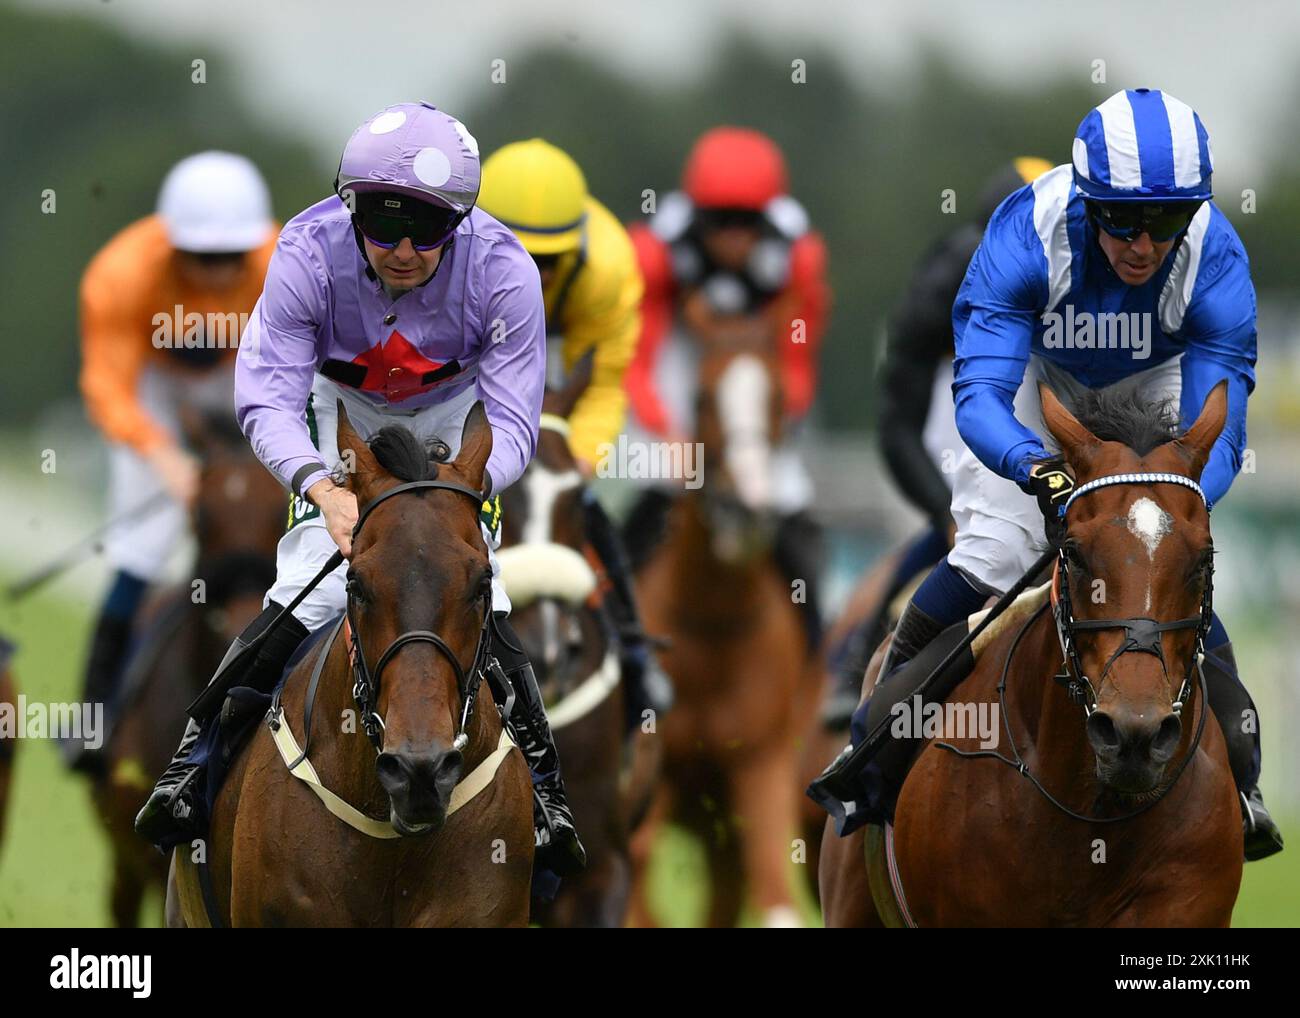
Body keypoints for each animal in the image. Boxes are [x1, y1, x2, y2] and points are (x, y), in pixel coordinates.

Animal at [631, 338, 821, 925]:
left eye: (778, 396)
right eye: (701, 396)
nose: (746, 507)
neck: (711, 622)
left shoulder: (762, 759)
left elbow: (777, 895)